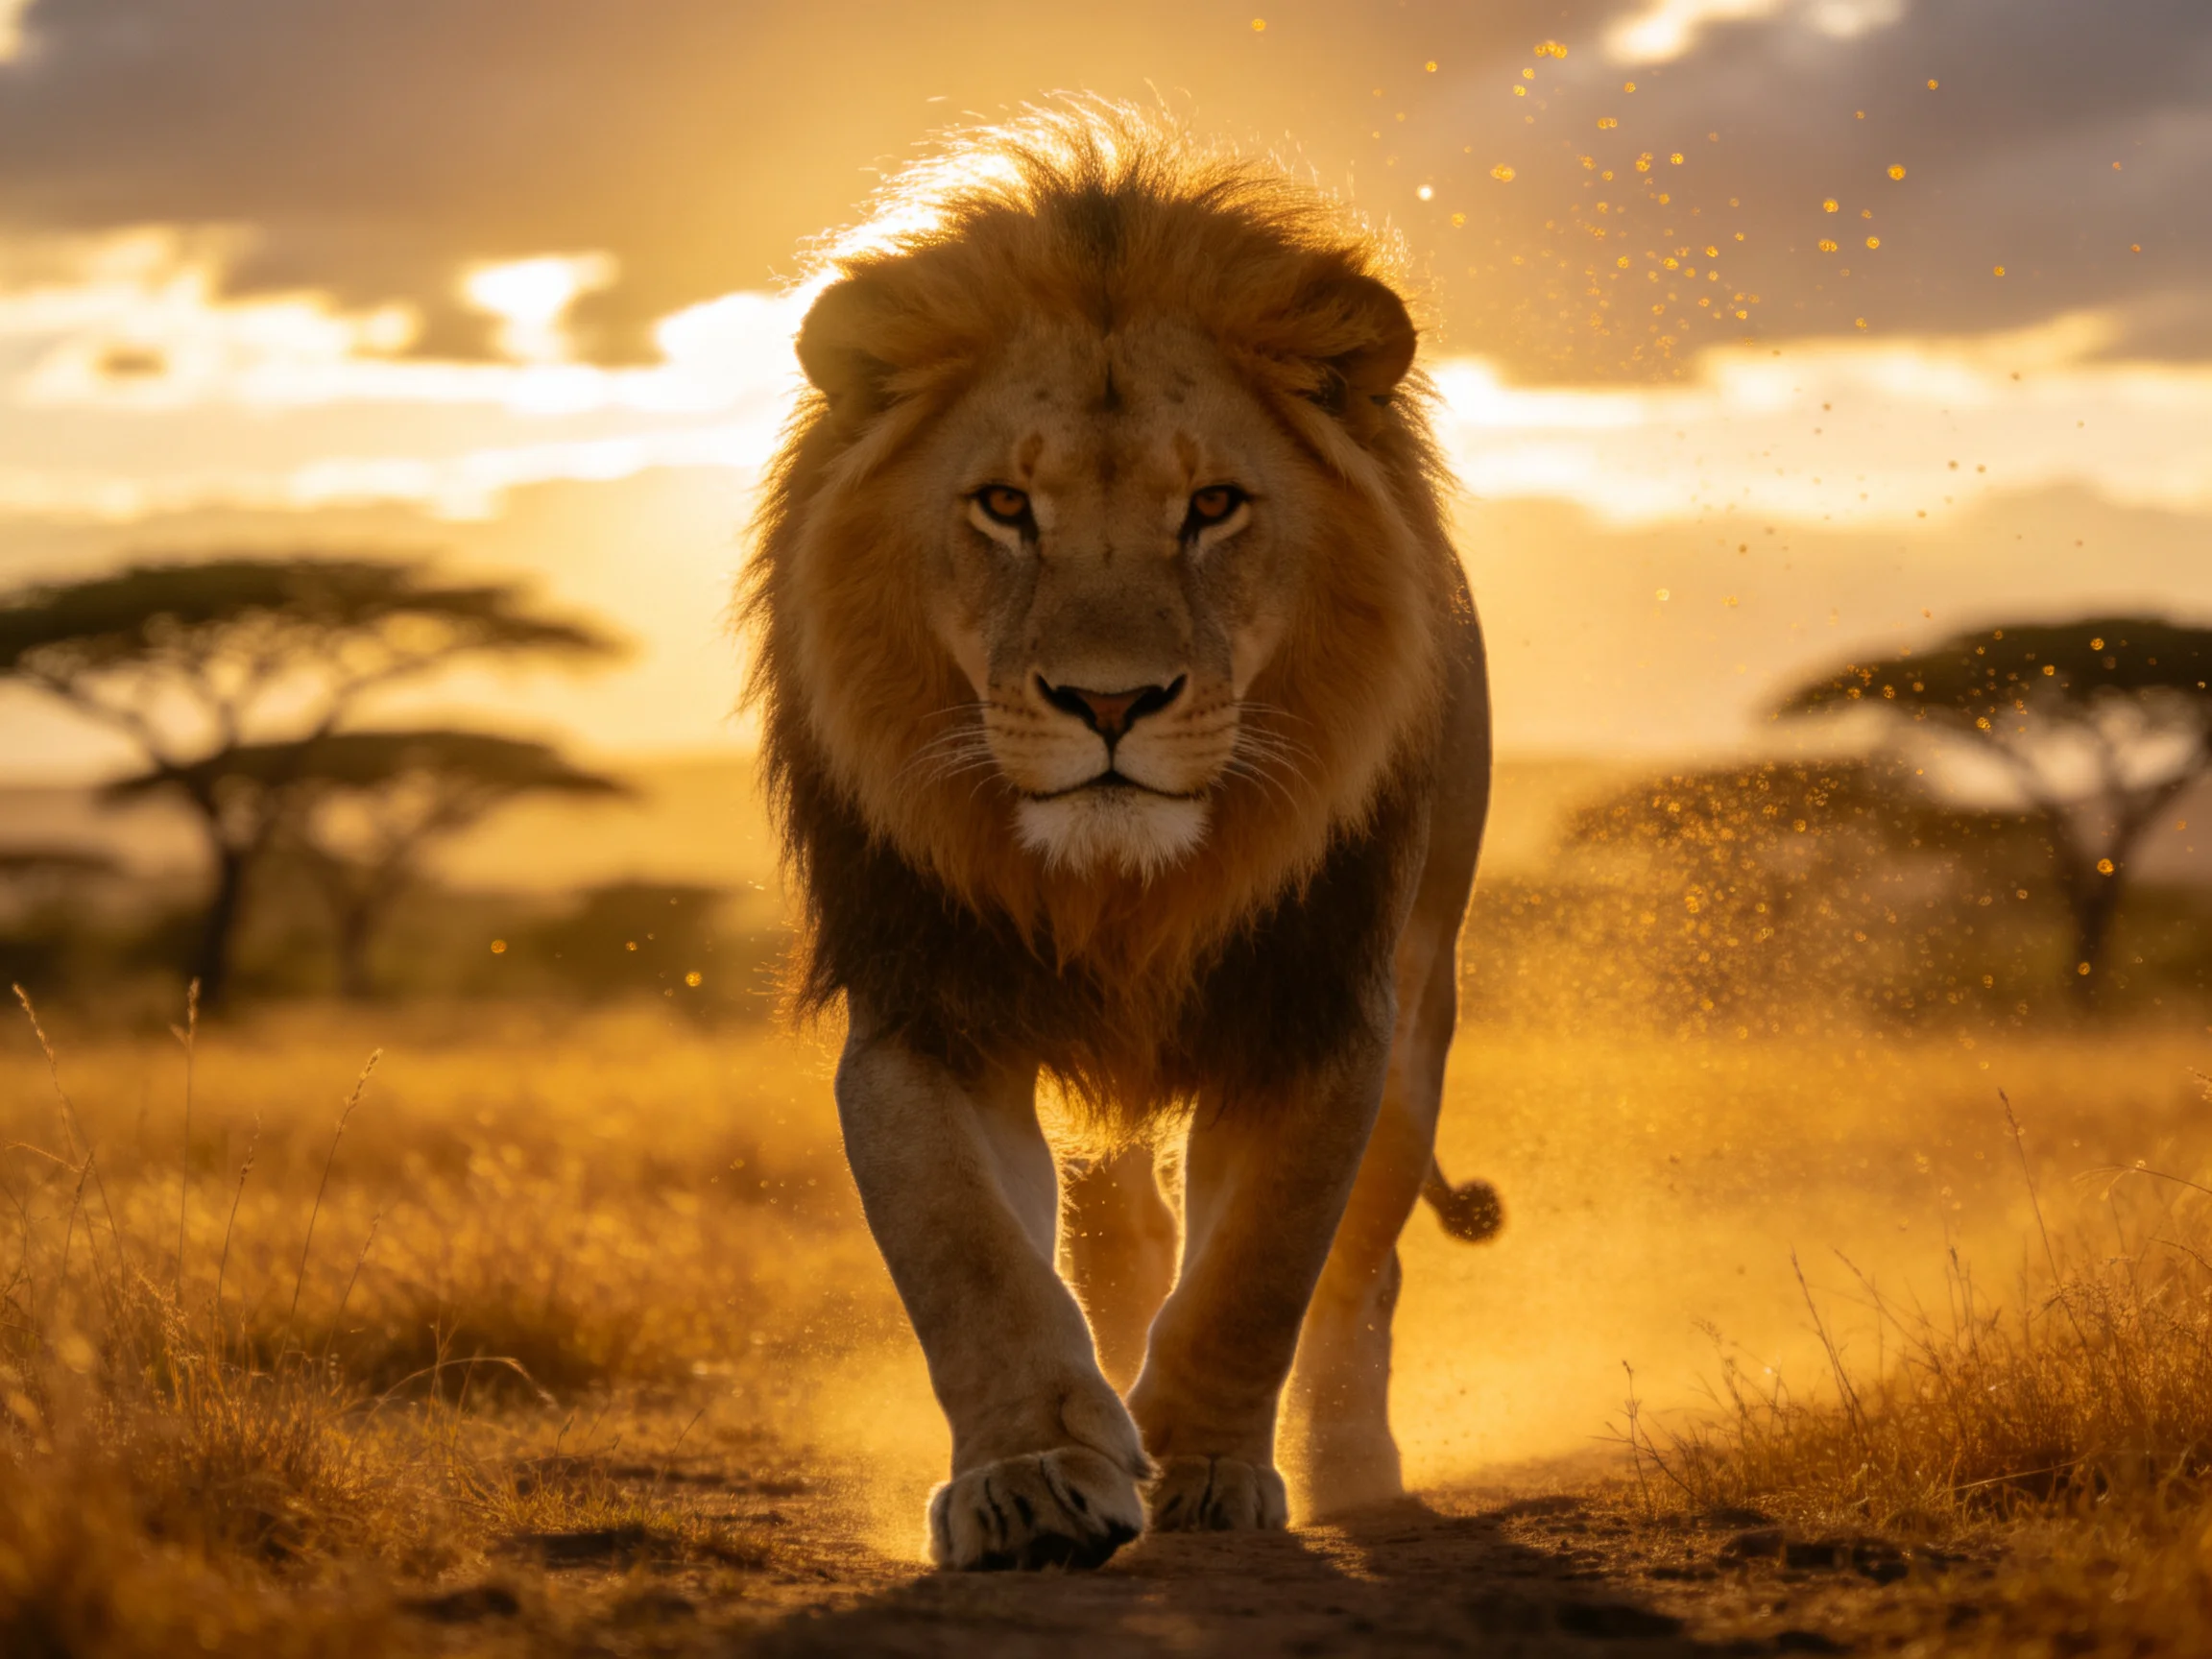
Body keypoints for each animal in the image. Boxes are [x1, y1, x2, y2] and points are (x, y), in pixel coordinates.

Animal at [743, 105, 1496, 1571]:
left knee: (1361, 1268)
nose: (1107, 702)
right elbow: (967, 1254)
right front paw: (1035, 1476)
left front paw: (1203, 1467)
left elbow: (1263, 1267)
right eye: (1003, 507)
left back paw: (1352, 1466)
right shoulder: (928, 1002)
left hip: (1423, 1007)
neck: (1121, 887)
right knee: (1117, 1232)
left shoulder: (1319, 1007)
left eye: (1211, 507)